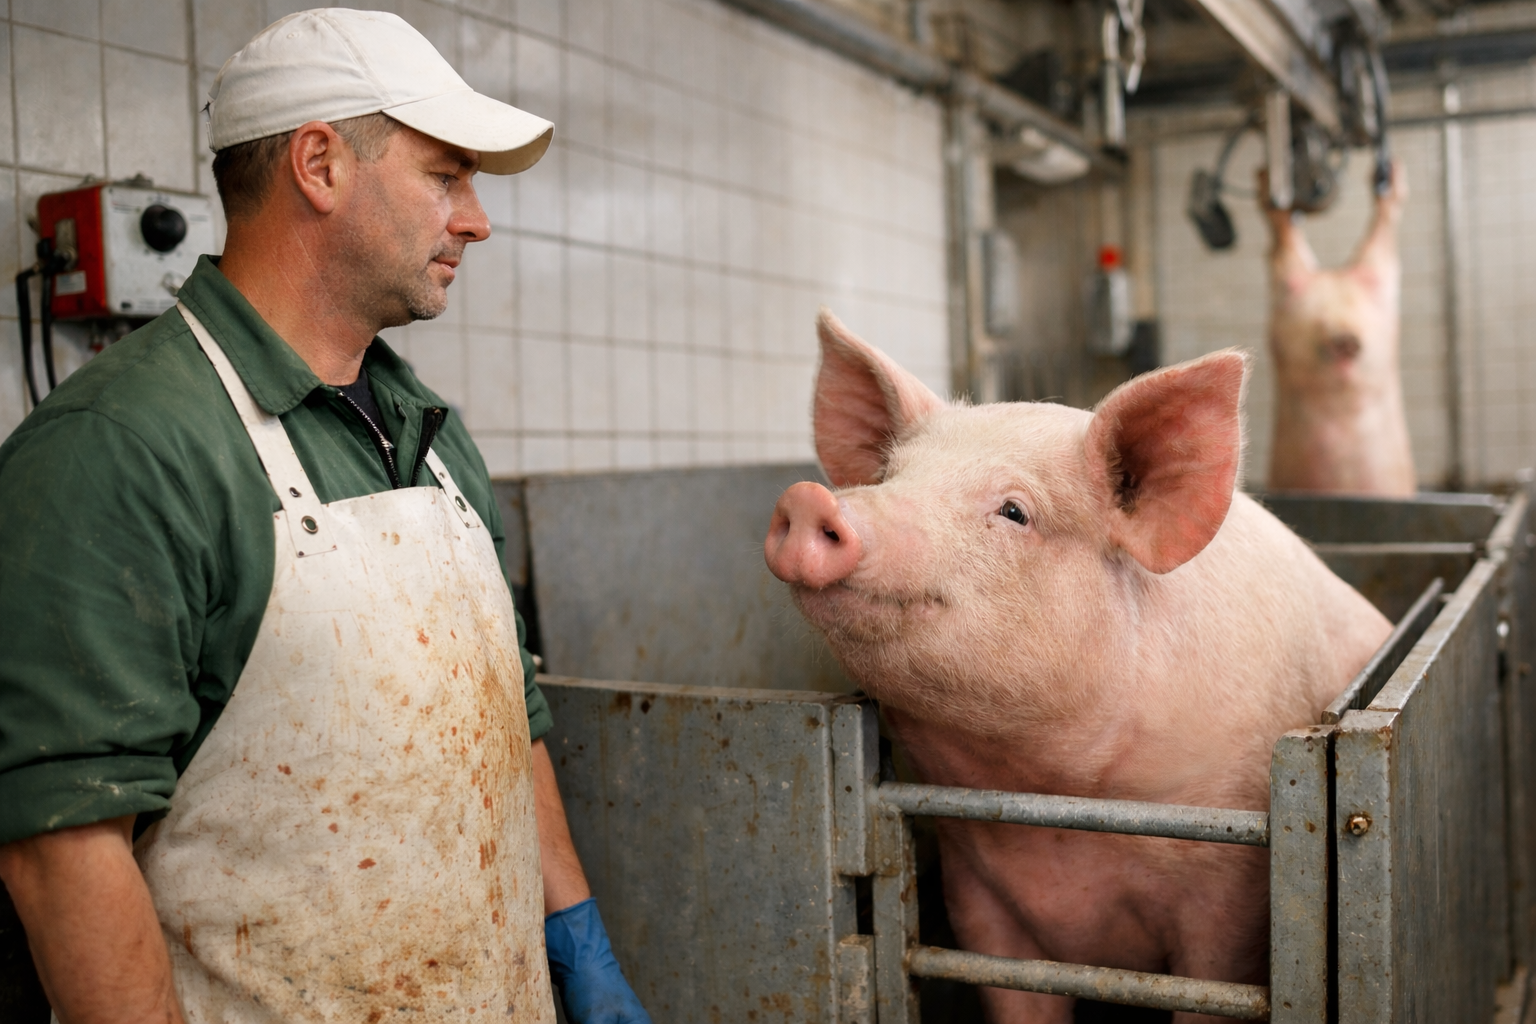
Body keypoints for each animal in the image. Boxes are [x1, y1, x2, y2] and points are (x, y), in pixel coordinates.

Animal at [764, 312, 1392, 1023]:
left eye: (1014, 511)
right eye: (888, 476)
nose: (812, 500)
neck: (1060, 804)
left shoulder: (1230, 896)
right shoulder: (977, 896)